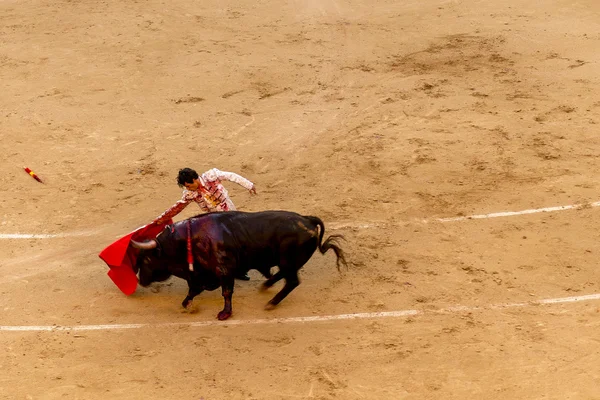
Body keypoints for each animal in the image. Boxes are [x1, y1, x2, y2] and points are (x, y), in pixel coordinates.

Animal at [131, 211, 346, 320]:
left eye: (147, 260)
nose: (140, 281)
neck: (187, 240)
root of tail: (307, 219)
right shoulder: (201, 275)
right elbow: (193, 291)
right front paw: (188, 306)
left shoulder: (224, 270)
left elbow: (226, 291)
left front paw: (225, 313)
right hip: (288, 262)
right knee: (283, 276)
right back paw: (266, 286)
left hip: (289, 260)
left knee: (292, 281)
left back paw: (271, 302)